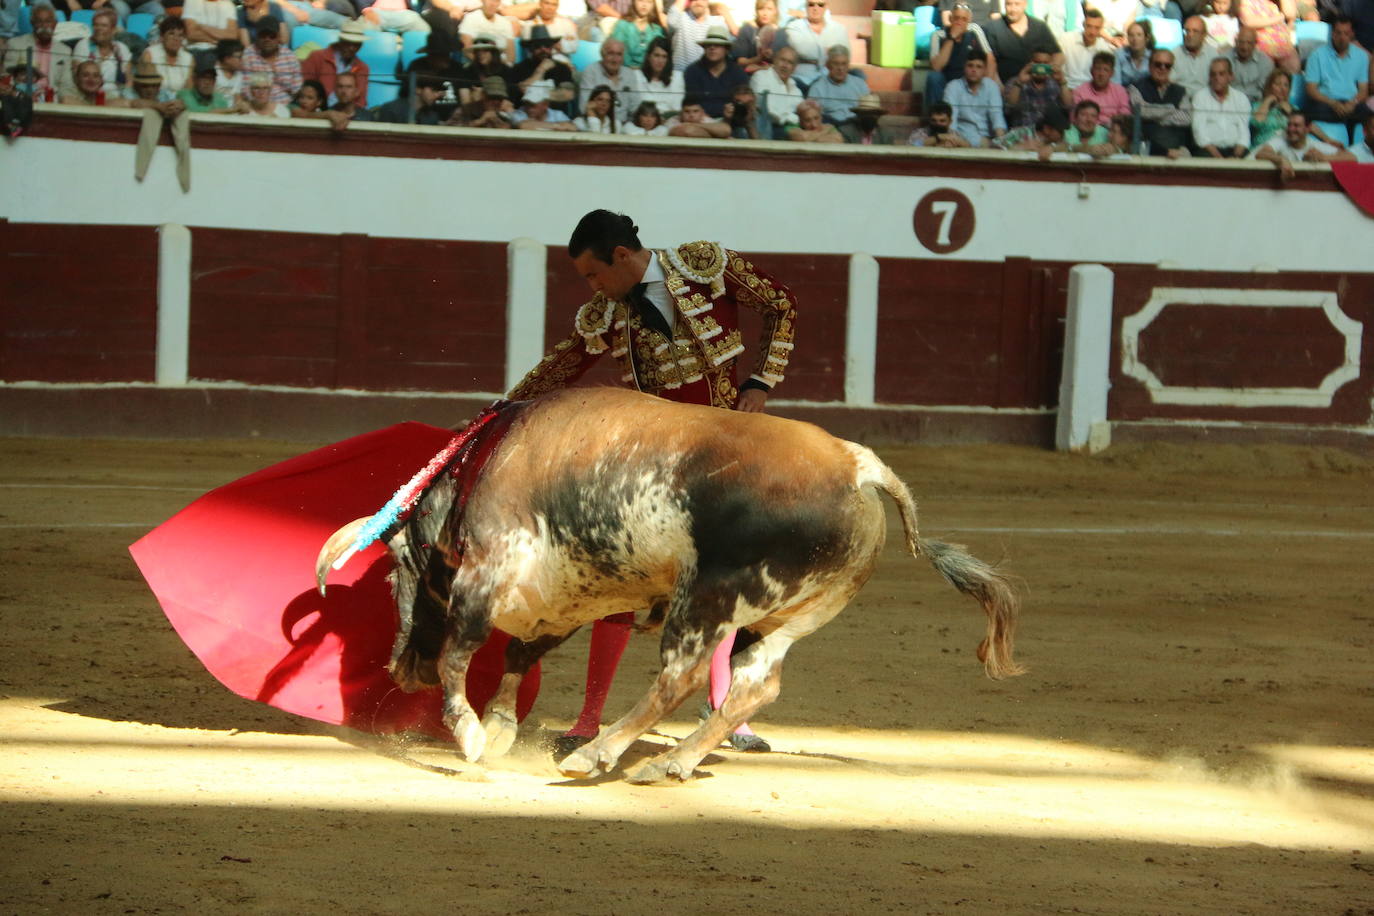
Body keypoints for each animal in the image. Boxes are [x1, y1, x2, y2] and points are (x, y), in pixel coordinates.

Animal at [314, 384, 1022, 780]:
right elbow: (518, 655)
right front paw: (505, 727)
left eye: (396, 572)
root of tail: (860, 467)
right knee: (755, 685)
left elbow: (463, 655)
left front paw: (471, 734)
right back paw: (668, 762)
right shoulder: (567, 594)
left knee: (680, 677)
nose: (401, 669)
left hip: (708, 599)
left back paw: (599, 756)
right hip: (782, 618)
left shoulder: (486, 577)